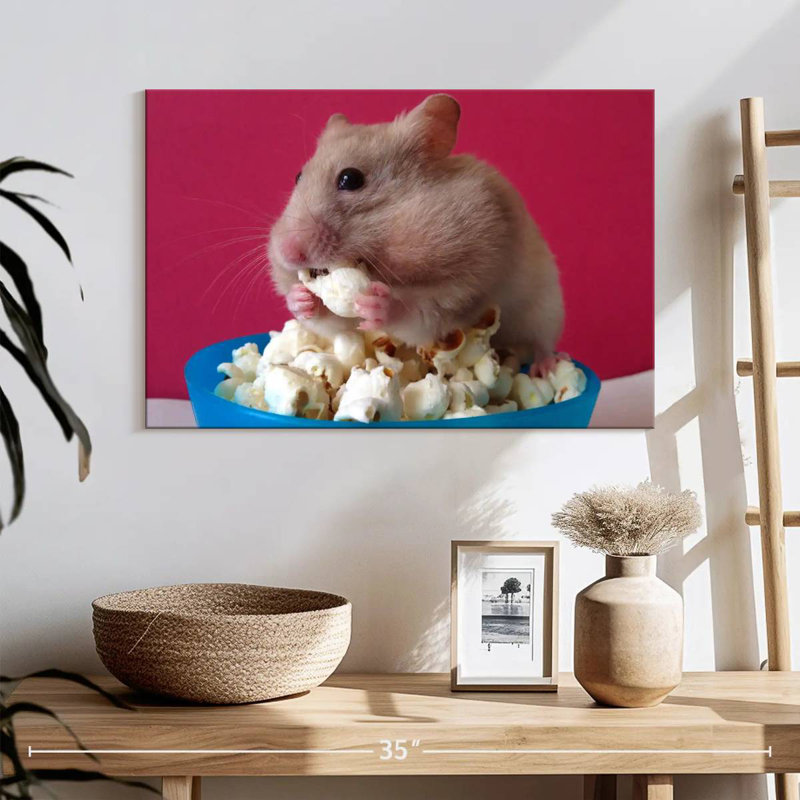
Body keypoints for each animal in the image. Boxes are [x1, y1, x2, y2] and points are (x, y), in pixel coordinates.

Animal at [268, 94, 564, 373]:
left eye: (350, 179)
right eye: (298, 176)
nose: (287, 253)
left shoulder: (467, 287)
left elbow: (422, 314)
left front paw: (380, 303)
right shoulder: (343, 324)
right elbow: (335, 322)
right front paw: (301, 297)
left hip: (546, 306)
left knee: (542, 342)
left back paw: (546, 368)